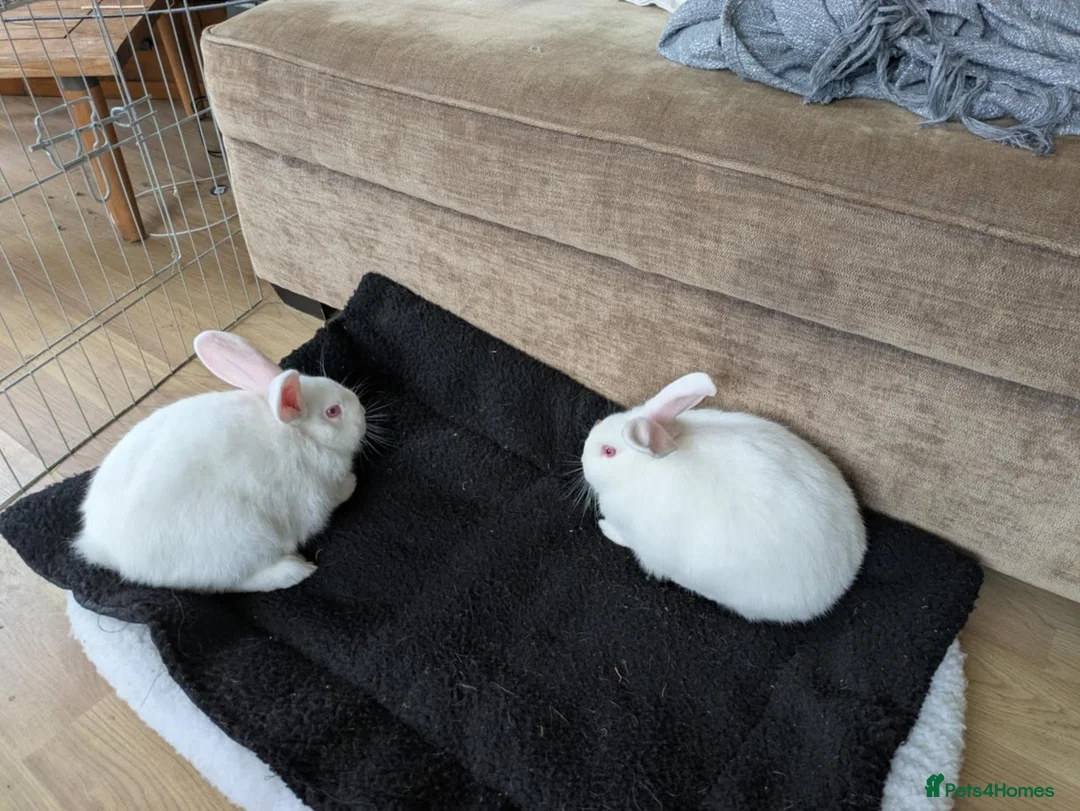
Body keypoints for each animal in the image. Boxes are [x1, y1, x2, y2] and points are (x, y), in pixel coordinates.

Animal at [74, 330, 366, 593]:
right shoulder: (316, 497)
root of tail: (105, 550)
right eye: (333, 411)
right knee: (235, 582)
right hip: (244, 538)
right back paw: (295, 570)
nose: (363, 414)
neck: (299, 433)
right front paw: (351, 483)